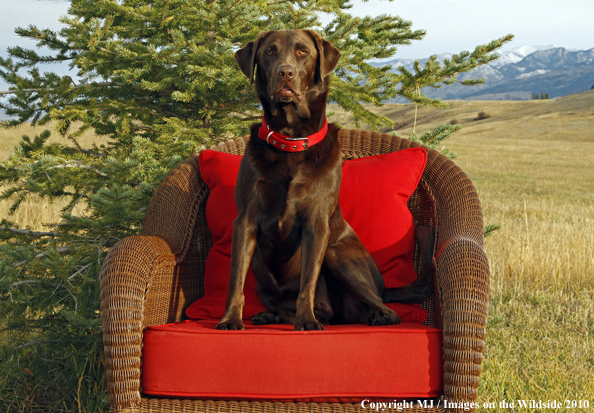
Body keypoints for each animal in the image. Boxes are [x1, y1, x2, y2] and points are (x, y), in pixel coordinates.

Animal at [215, 29, 432, 330]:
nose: (285, 73)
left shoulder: (316, 226)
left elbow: (308, 282)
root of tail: (382, 285)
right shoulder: (245, 221)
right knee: (325, 313)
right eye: (269, 52)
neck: (291, 141)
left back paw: (376, 316)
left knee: (381, 308)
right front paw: (230, 319)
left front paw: (306, 321)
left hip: (336, 254)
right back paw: (272, 315)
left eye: (302, 52)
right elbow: (236, 279)